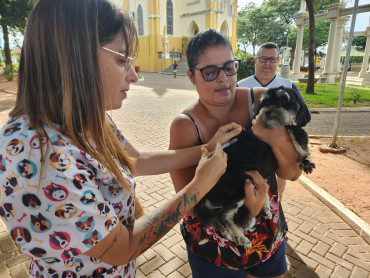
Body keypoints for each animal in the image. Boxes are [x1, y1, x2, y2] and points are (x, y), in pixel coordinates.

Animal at [194, 86, 316, 248]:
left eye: (283, 101)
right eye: (265, 102)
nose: (268, 111)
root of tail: (205, 194)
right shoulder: (289, 128)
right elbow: (301, 138)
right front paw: (307, 159)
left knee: (218, 222)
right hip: (240, 186)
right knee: (222, 216)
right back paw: (240, 237)